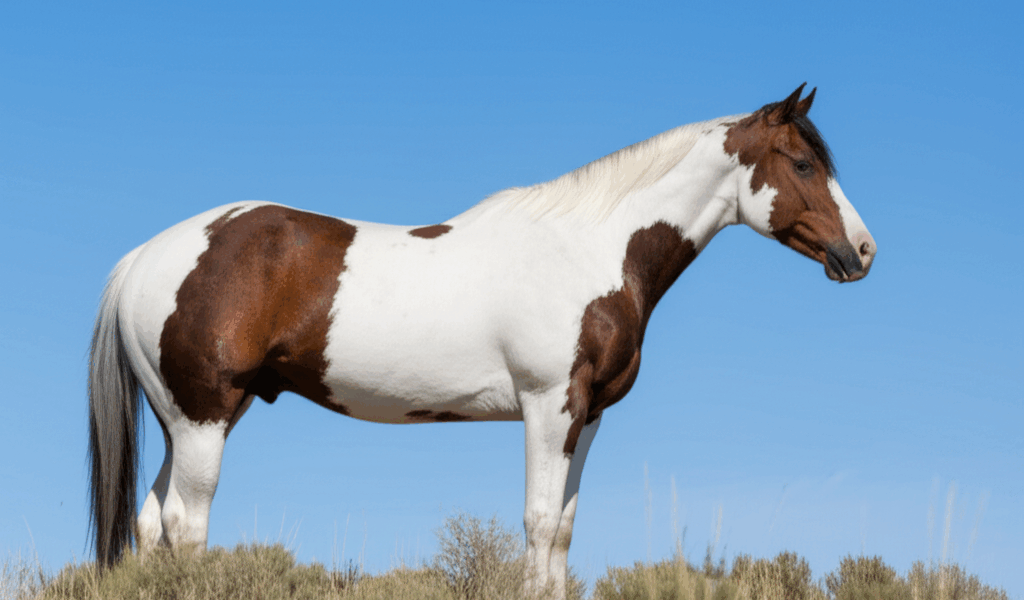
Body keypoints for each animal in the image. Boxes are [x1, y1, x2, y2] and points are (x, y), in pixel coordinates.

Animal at [88, 84, 875, 597]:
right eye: (803, 165)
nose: (863, 252)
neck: (590, 249)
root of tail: (143, 257)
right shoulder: (547, 405)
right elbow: (537, 520)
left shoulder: (588, 415)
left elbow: (563, 527)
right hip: (203, 416)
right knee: (186, 523)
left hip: (187, 418)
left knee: (152, 522)